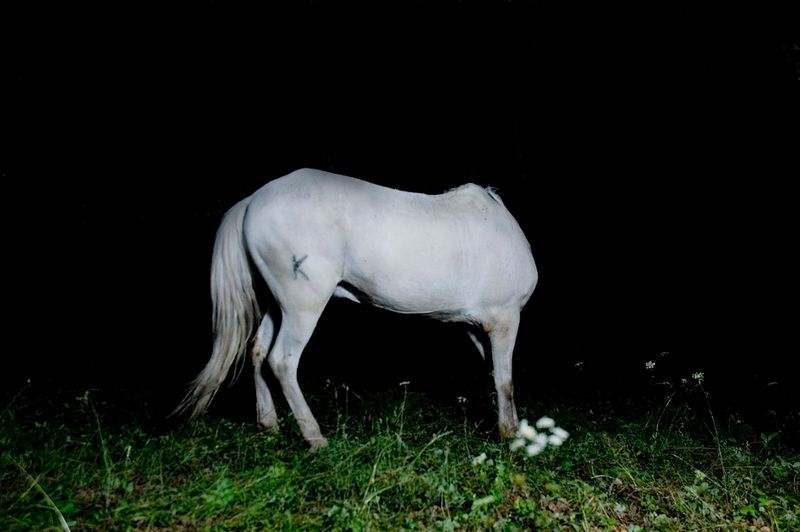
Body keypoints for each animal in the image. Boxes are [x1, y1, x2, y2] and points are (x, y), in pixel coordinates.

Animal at [175, 168, 538, 448]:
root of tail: (252, 200)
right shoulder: (505, 319)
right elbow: (504, 381)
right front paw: (511, 434)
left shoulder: (476, 328)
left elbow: (492, 374)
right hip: (302, 306)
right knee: (282, 361)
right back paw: (315, 437)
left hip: (276, 306)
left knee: (258, 352)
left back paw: (269, 424)